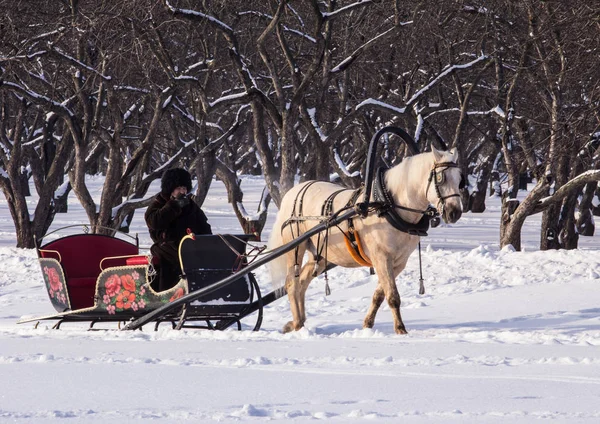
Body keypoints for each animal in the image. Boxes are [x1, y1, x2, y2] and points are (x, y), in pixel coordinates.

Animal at [268, 146, 464, 334]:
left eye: (459, 179)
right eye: (441, 178)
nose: (454, 212)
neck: (387, 205)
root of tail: (293, 192)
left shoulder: (398, 262)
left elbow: (380, 294)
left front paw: (368, 324)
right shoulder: (381, 257)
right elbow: (393, 296)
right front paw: (400, 329)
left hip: (322, 253)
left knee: (303, 281)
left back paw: (298, 323)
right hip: (296, 246)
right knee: (292, 283)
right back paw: (297, 324)